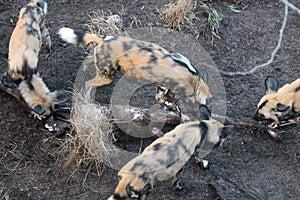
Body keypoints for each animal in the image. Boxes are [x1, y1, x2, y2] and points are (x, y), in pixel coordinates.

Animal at [56, 27, 211, 121]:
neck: (195, 82)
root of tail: (104, 39)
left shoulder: (161, 90)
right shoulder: (166, 96)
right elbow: (177, 110)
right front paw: (184, 119)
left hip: (101, 67)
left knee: (87, 63)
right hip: (107, 77)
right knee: (88, 84)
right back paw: (87, 100)